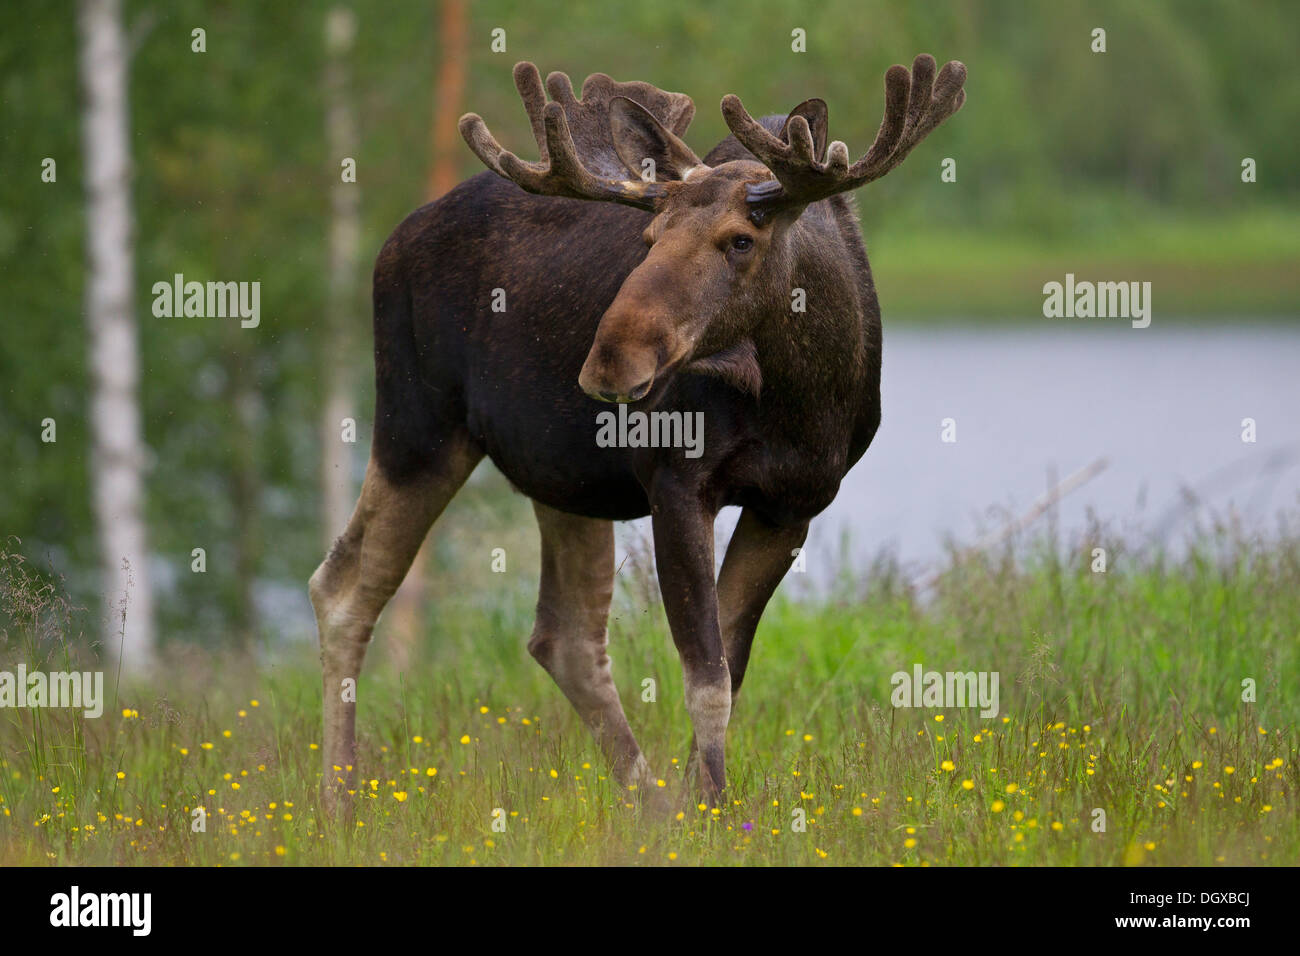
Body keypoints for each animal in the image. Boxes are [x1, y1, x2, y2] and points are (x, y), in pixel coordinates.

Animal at [312, 54, 967, 816]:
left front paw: (701, 803)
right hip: (417, 427)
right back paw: (339, 800)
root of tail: (390, 242)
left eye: (740, 240)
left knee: (563, 635)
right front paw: (712, 811)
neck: (803, 397)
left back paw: (649, 806)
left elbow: (729, 665)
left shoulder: (793, 504)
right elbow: (705, 676)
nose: (608, 363)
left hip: (560, 476)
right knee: (345, 586)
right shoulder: (677, 481)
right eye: (648, 241)